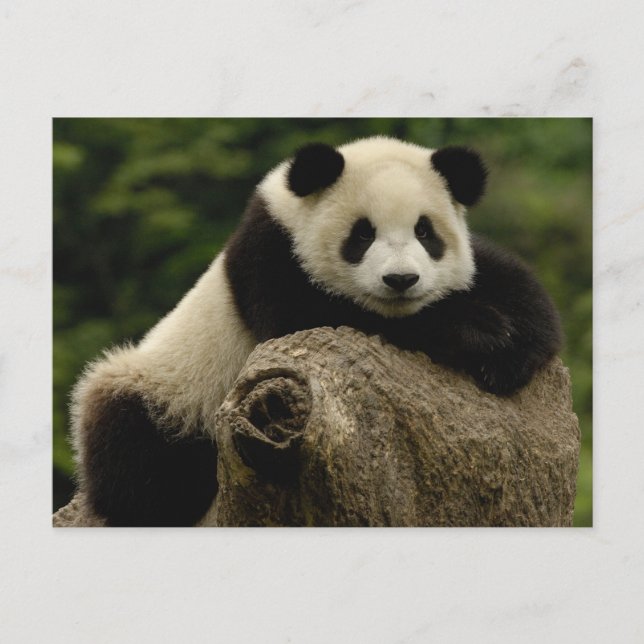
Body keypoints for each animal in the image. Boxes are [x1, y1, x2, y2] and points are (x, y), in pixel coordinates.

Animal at [71, 136, 561, 527]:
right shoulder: (271, 256)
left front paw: (511, 348)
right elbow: (312, 319)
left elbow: (514, 284)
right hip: (169, 387)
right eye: (362, 234)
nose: (401, 280)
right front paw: (478, 332)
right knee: (137, 451)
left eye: (425, 232)